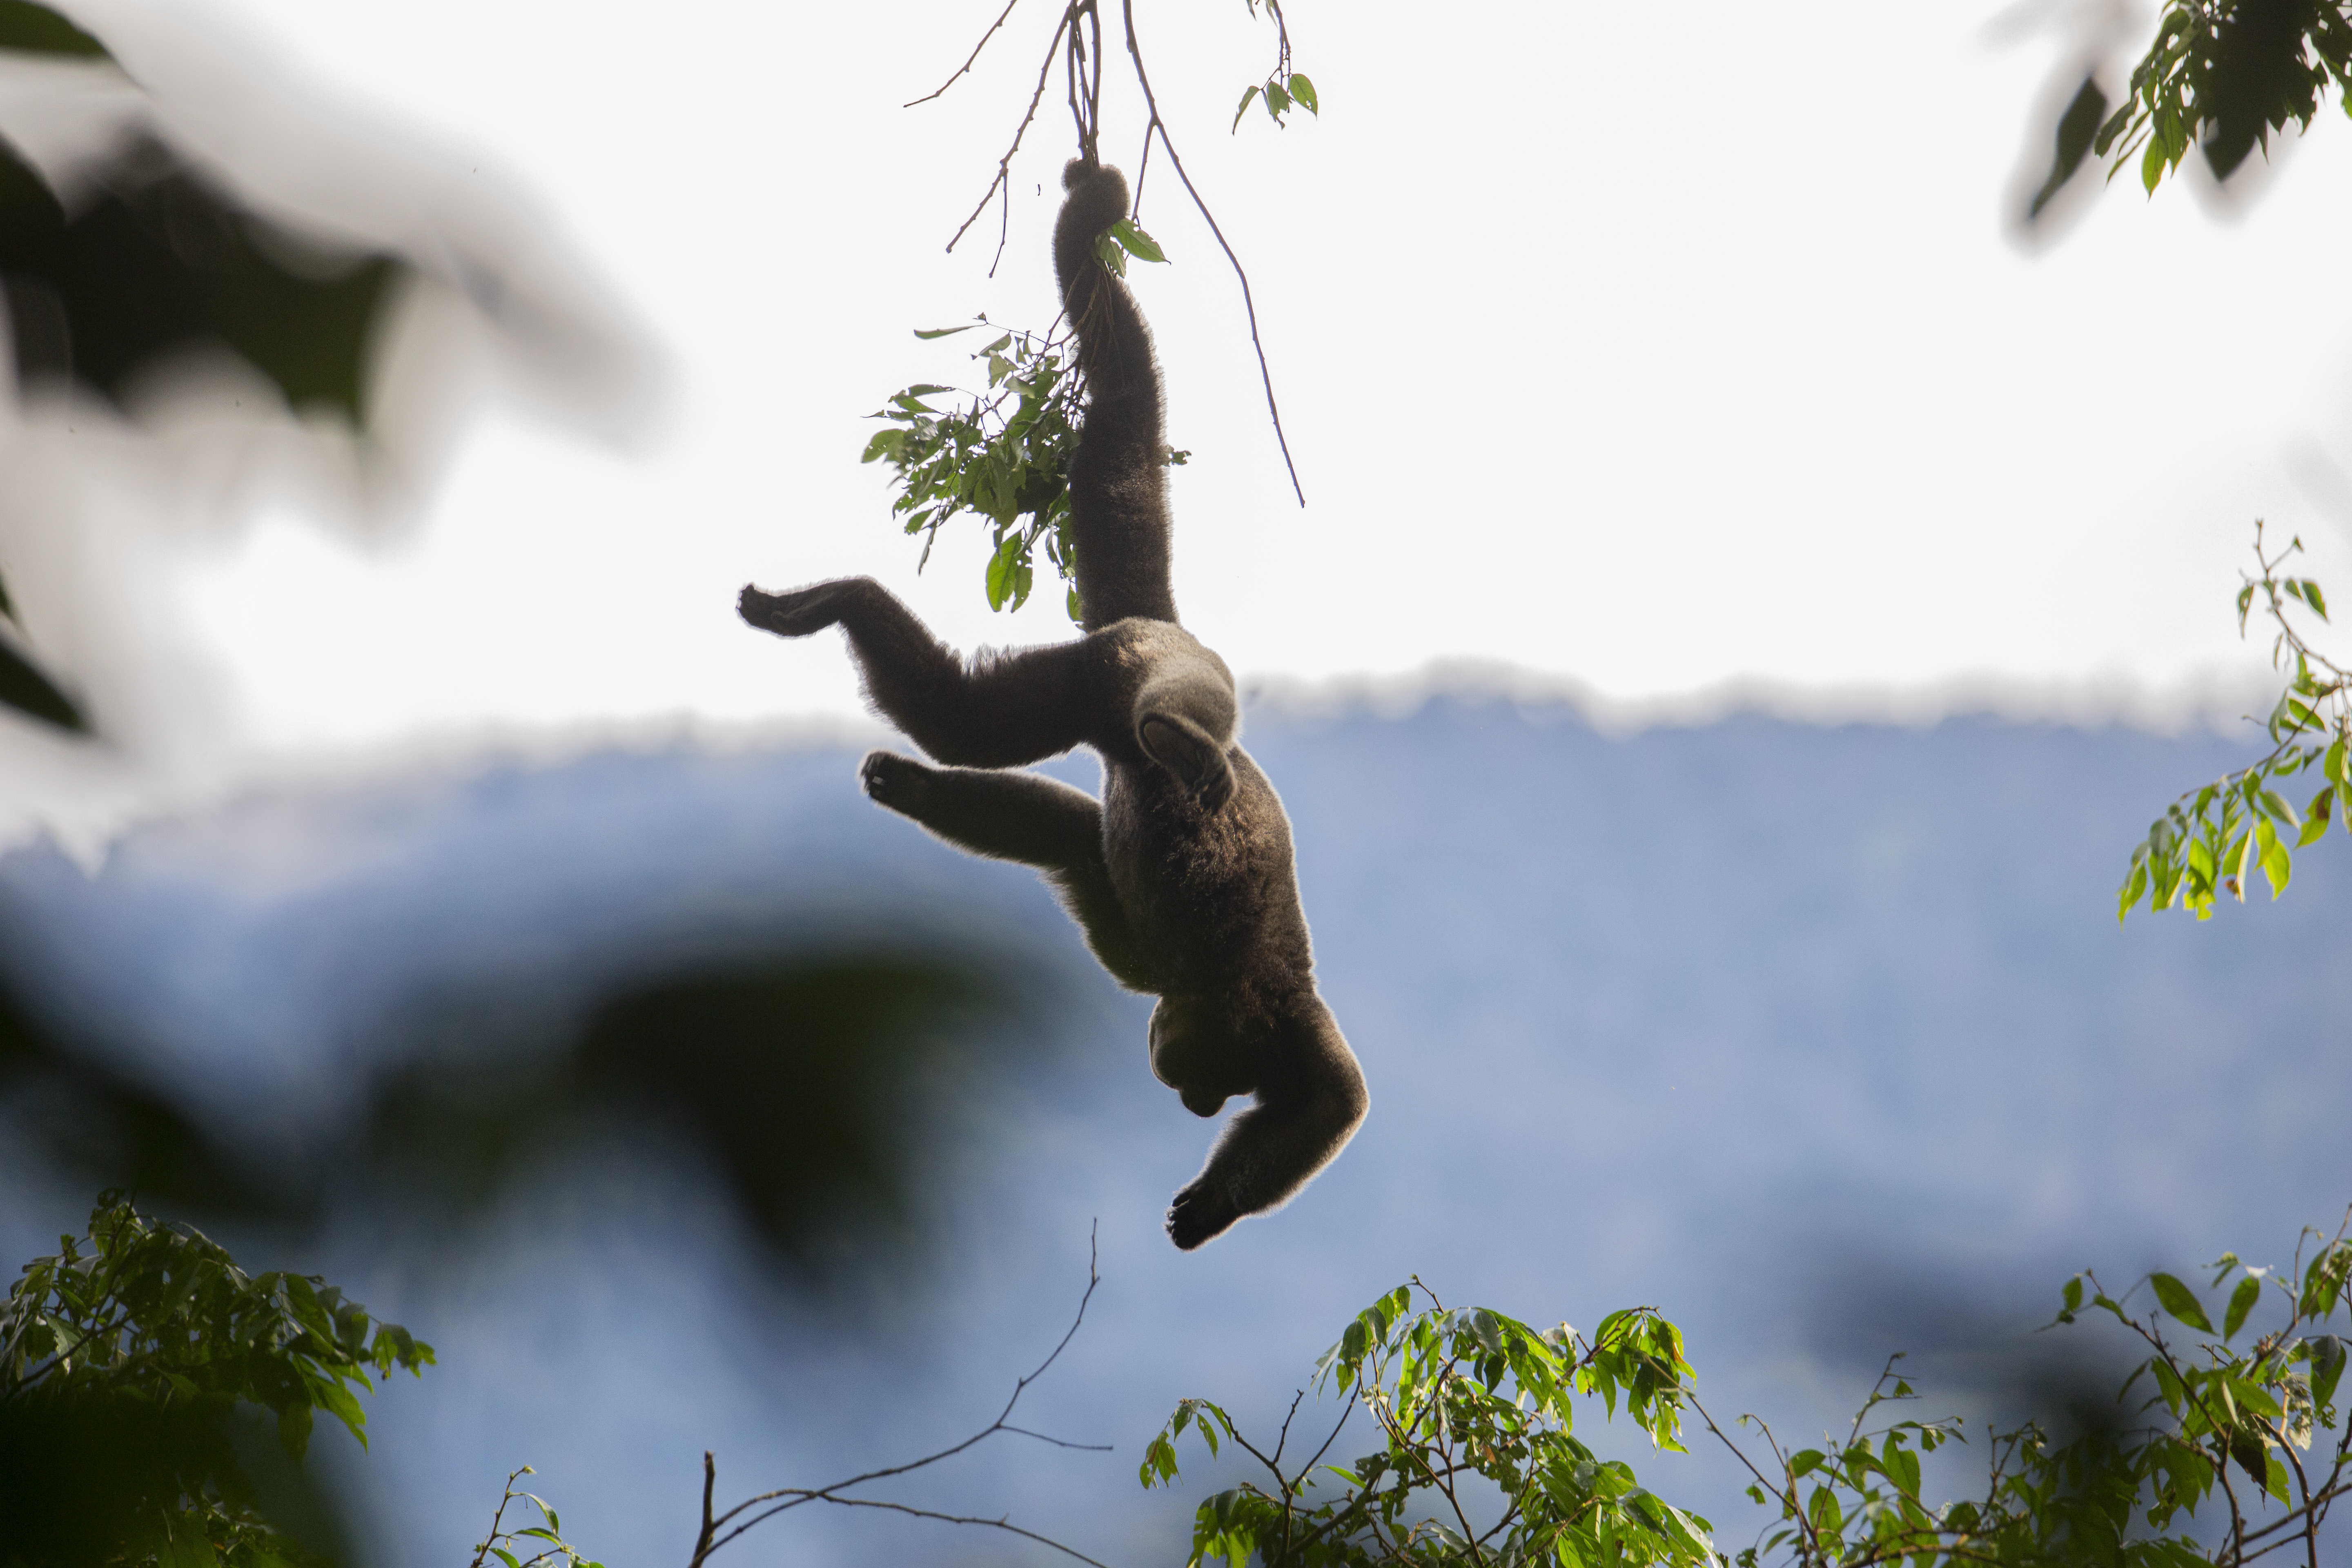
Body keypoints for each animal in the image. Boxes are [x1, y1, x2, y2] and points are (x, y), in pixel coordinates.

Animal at [738, 159, 1366, 1250]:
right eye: (1201, 1083)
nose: (1196, 1106)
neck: (1228, 985)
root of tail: (1155, 622)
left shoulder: (1246, 1010)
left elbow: (1073, 841)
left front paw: (1215, 1201)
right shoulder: (1236, 995)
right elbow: (1341, 1100)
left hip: (1100, 674)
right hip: (1128, 666)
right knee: (1006, 715)